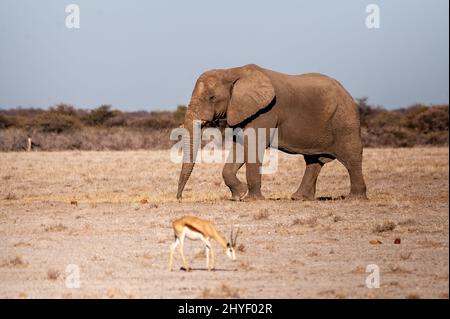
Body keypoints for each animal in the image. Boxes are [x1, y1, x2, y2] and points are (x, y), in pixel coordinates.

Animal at [176, 63, 366, 201]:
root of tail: (347, 92)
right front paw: (239, 195)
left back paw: (354, 198)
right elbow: (240, 148)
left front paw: (251, 200)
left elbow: (253, 148)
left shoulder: (265, 112)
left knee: (351, 157)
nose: (179, 198)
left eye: (212, 98)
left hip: (345, 119)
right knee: (313, 161)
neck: (232, 71)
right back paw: (299, 198)